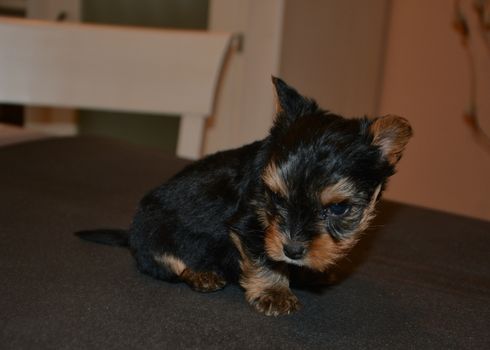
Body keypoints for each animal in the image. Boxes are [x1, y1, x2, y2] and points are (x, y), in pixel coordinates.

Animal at [77, 77, 414, 318]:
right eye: (276, 197)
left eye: (340, 208)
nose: (292, 250)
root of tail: (130, 234)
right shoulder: (250, 226)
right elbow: (265, 257)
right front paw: (274, 292)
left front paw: (310, 271)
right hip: (152, 231)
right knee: (165, 262)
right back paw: (200, 274)